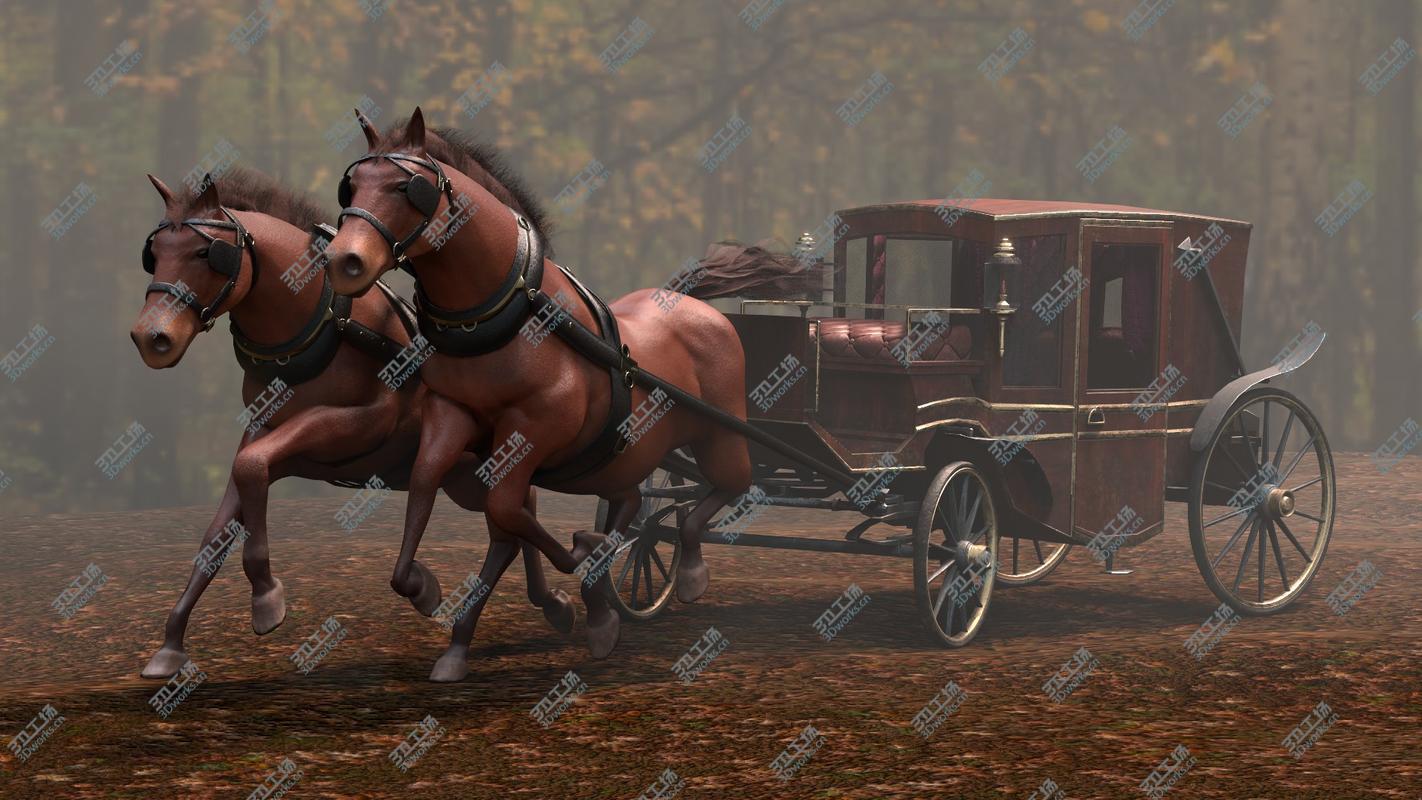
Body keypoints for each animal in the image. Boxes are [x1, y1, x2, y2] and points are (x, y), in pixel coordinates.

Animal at [130, 164, 574, 679]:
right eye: (154, 255)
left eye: (206, 253)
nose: (149, 337)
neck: (318, 321)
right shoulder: (266, 433)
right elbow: (219, 527)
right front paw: (170, 644)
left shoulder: (358, 425)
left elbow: (251, 468)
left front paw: (266, 597)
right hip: (466, 478)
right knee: (515, 518)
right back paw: (547, 603)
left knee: (516, 515)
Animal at [322, 107, 752, 682]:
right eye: (350, 187)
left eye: (405, 186)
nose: (341, 261)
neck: (510, 311)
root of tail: (703, 309)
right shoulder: (453, 414)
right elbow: (426, 483)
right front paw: (423, 592)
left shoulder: (535, 426)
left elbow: (507, 510)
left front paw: (586, 580)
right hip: (622, 457)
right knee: (633, 504)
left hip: (720, 436)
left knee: (722, 491)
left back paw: (688, 574)